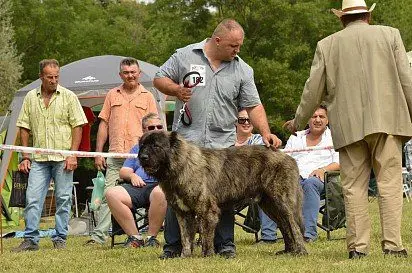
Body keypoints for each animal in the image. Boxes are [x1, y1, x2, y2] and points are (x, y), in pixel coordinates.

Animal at [138, 131, 306, 256]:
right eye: (142, 146)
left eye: (156, 146)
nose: (142, 157)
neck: (182, 164)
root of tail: (288, 156)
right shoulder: (183, 213)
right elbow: (186, 238)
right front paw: (184, 257)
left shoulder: (207, 211)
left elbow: (206, 237)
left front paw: (207, 256)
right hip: (270, 205)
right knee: (285, 225)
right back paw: (288, 251)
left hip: (282, 202)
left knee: (294, 226)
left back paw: (300, 251)